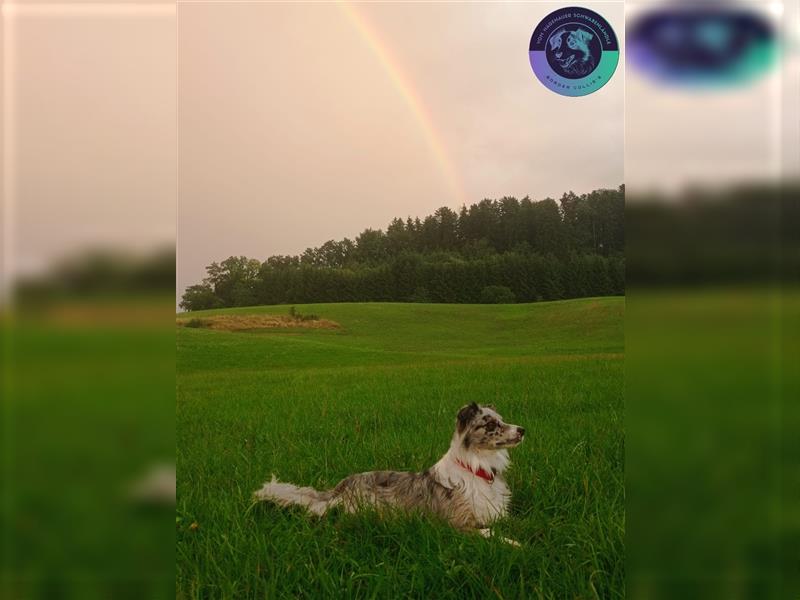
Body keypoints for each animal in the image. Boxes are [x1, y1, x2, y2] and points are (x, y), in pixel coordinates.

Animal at [252, 404, 524, 544]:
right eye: (491, 424)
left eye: (502, 419)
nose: (522, 430)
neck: (478, 468)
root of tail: (342, 485)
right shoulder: (455, 525)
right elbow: (491, 533)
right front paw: (517, 544)